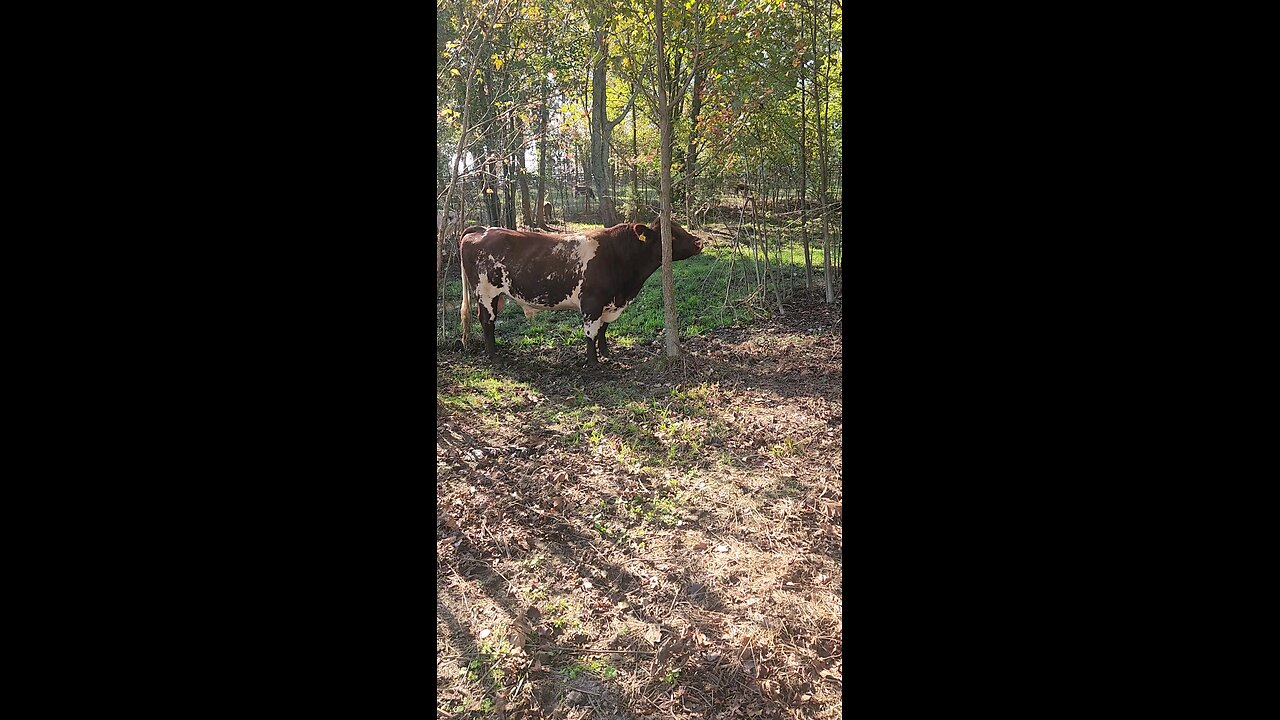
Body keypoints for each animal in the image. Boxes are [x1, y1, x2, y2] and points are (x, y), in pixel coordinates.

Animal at [458, 220, 706, 363]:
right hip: (486, 293)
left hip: (496, 295)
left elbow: (604, 329)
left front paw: (606, 353)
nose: (699, 242)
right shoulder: (592, 302)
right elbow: (591, 332)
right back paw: (494, 357)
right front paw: (593, 361)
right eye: (671, 236)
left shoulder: (609, 303)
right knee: (487, 322)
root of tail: (482, 229)